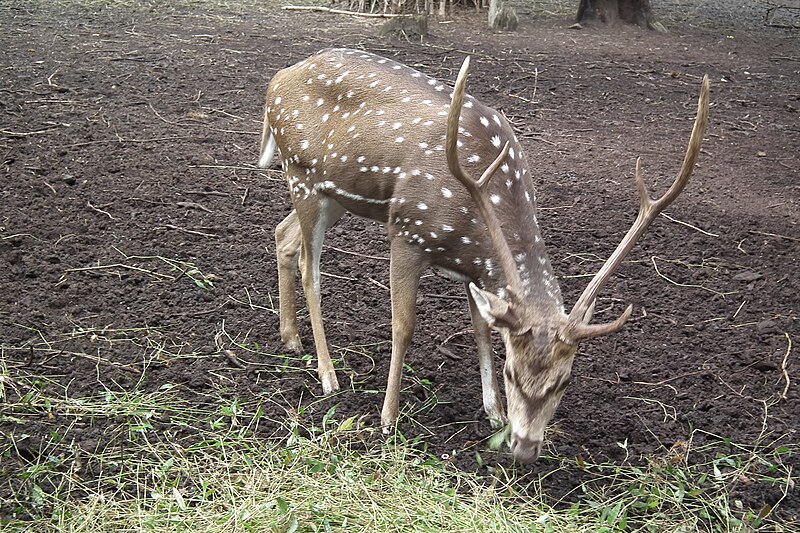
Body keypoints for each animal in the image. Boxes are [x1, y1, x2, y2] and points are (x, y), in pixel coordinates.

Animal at [258, 47, 708, 462]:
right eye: (512, 372)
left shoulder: (478, 273)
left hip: (334, 194)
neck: (473, 226)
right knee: (310, 268)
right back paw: (328, 376)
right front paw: (388, 418)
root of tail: (278, 78)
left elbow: (482, 330)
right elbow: (403, 326)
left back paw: (290, 338)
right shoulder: (406, 231)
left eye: (564, 381)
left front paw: (493, 413)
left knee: (283, 236)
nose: (524, 447)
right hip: (301, 173)